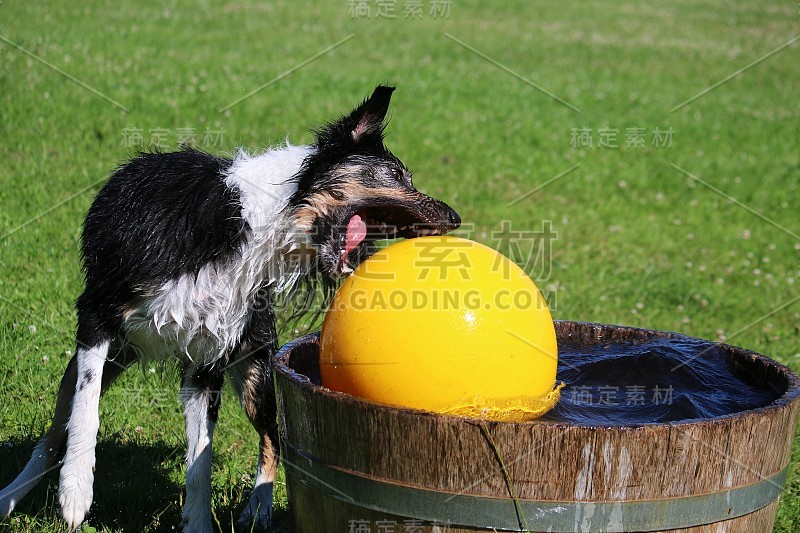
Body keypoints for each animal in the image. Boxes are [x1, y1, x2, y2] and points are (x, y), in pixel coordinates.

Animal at [0, 85, 460, 528]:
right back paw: (11, 496)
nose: (455, 217)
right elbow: (86, 410)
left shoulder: (207, 360)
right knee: (54, 433)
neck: (257, 225)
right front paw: (76, 491)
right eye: (399, 176)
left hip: (256, 363)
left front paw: (199, 523)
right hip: (112, 351)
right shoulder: (97, 314)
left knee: (273, 435)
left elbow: (199, 462)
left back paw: (259, 507)